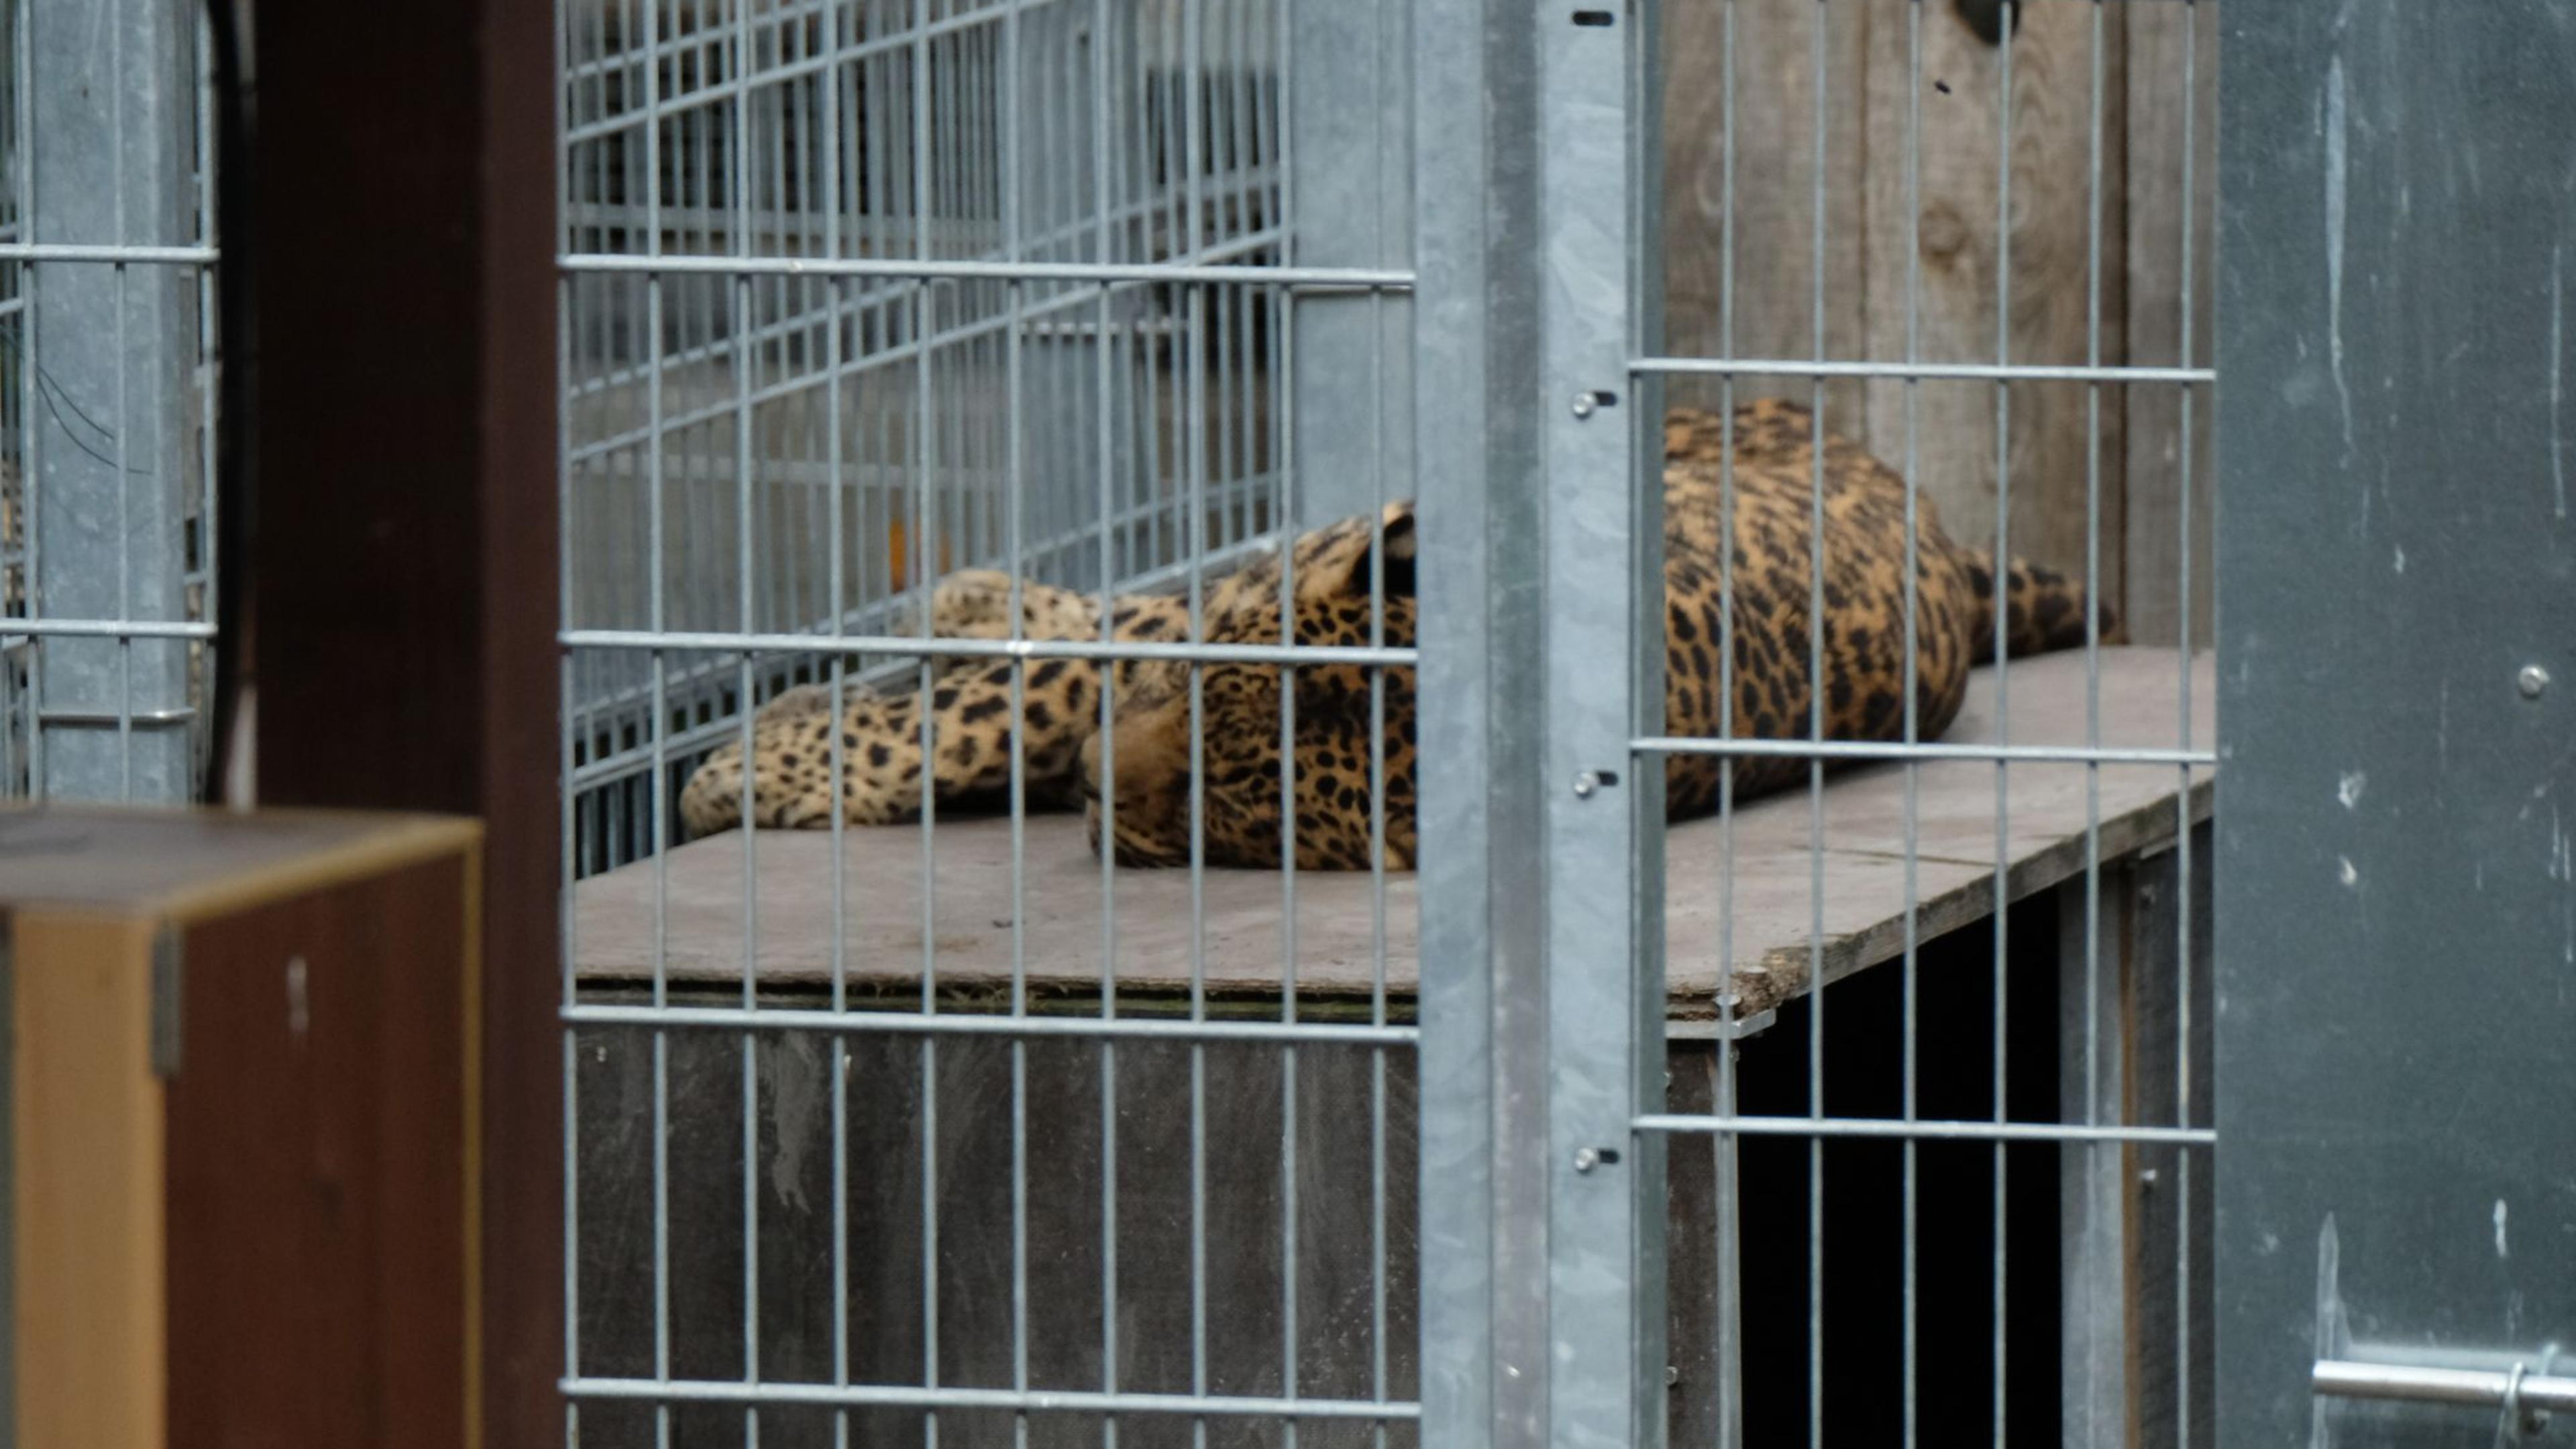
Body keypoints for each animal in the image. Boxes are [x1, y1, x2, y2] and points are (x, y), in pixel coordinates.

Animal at [675, 394, 2123, 861]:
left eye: (1232, 795)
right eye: (1206, 709)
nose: (1092, 784)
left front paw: (738, 776)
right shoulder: (1198, 631)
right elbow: (1007, 698)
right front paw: (743, 770)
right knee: (1127, 600)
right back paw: (973, 598)